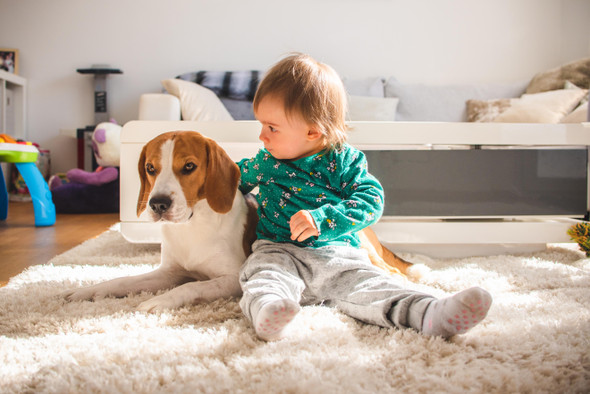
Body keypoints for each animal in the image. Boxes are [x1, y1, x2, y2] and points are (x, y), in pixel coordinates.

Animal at [62, 131, 414, 312]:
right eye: (150, 168)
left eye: (188, 167)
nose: (158, 203)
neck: (193, 226)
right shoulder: (169, 272)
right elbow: (123, 281)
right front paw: (88, 292)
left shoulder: (232, 278)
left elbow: (192, 287)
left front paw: (158, 301)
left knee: (394, 270)